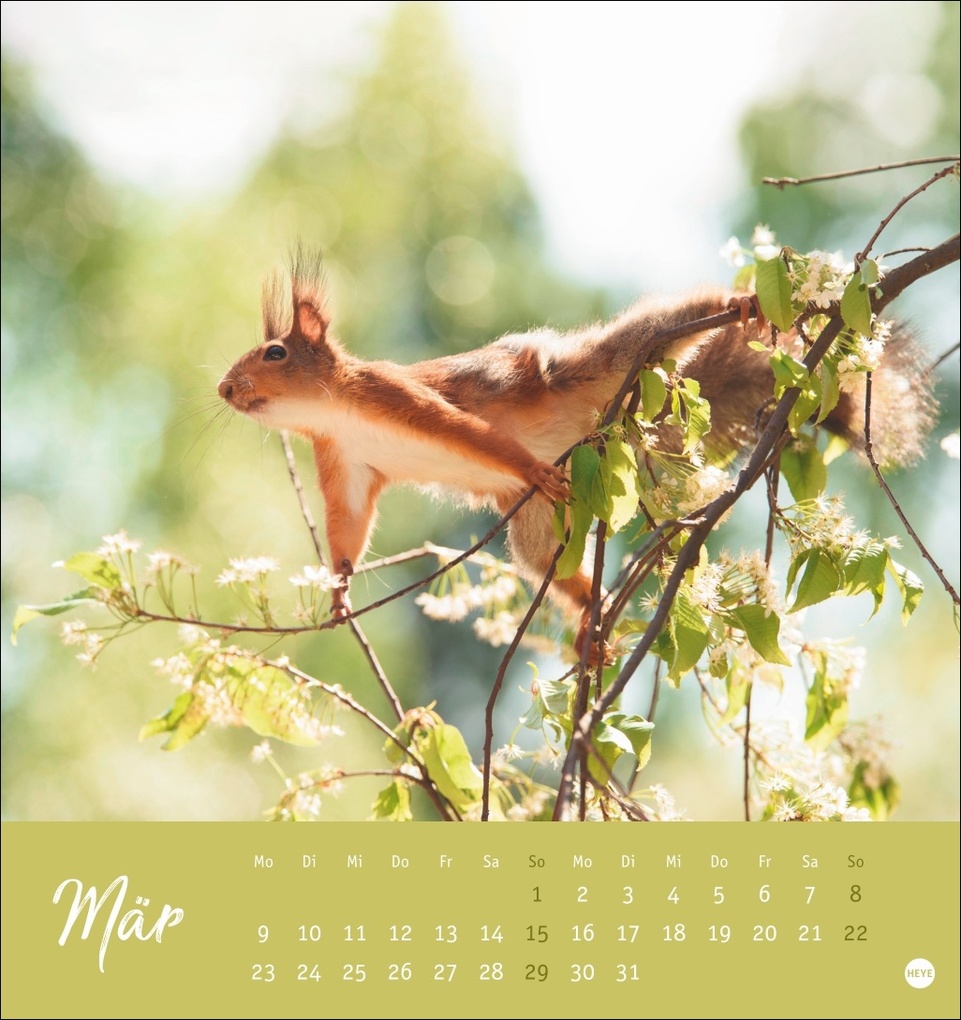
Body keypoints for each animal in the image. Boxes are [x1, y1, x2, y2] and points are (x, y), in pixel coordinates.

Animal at [218, 250, 934, 657]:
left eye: (275, 353)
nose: (224, 389)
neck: (333, 409)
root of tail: (602, 424)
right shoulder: (346, 463)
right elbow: (348, 523)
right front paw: (339, 590)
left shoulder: (399, 397)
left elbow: (467, 434)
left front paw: (524, 461)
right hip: (538, 526)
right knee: (552, 567)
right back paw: (592, 622)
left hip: (616, 360)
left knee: (666, 324)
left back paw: (739, 302)